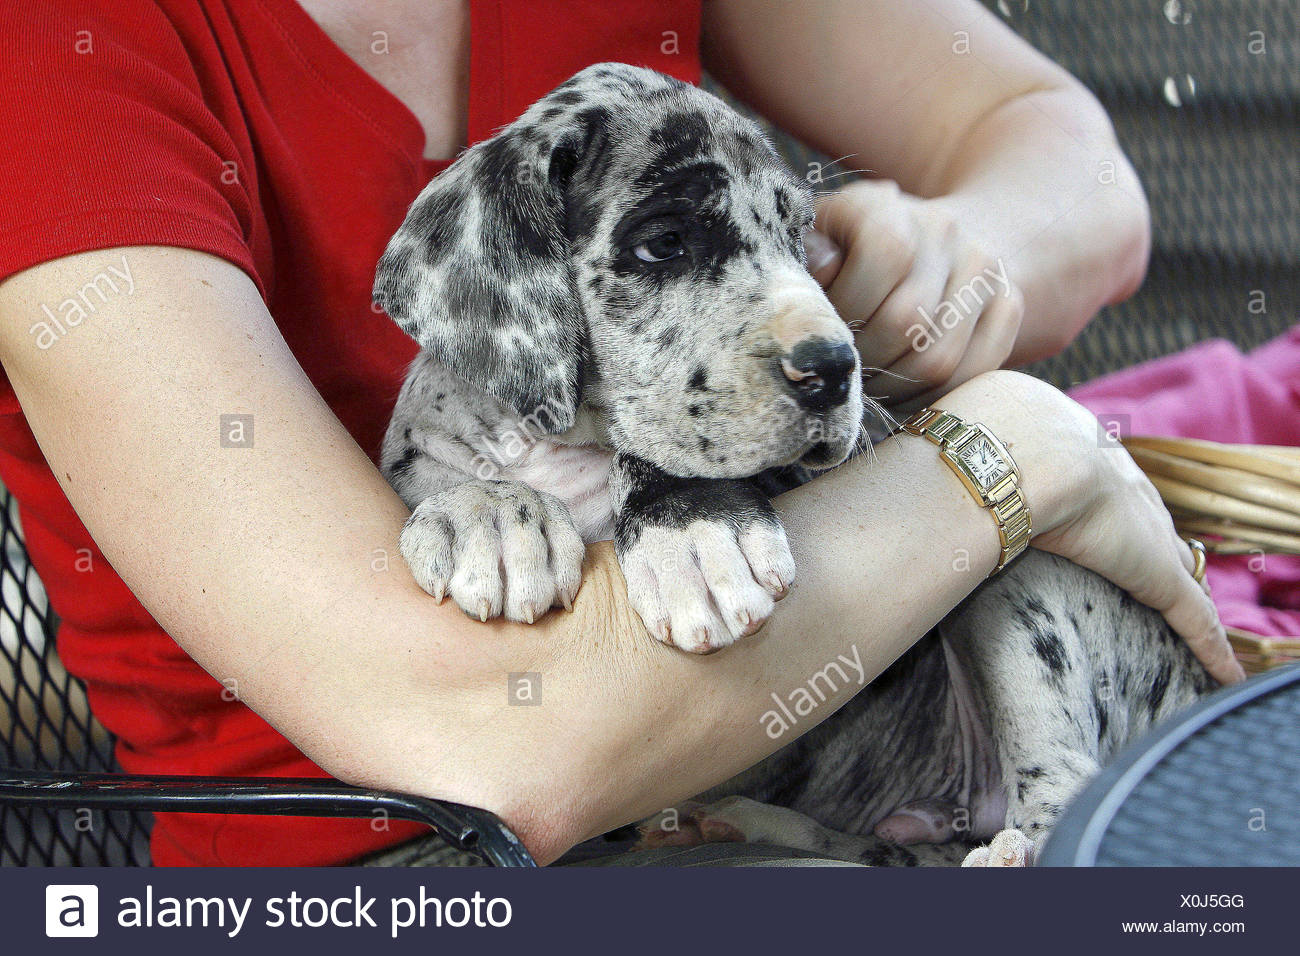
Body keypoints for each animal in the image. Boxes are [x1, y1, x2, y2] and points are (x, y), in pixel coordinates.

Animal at [369, 63, 1216, 863]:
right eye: (665, 242)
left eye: (798, 237)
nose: (836, 368)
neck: (556, 448)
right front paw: (490, 514)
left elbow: (664, 456)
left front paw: (692, 534)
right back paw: (734, 823)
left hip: (1027, 578)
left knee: (1062, 782)